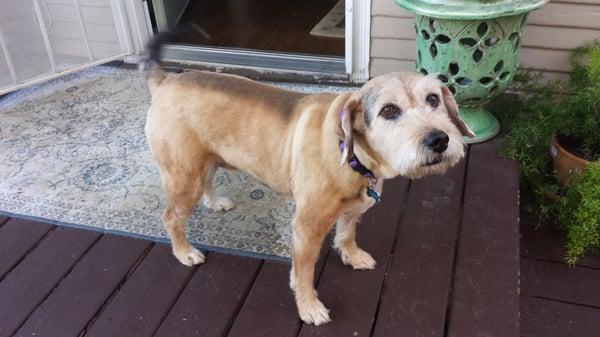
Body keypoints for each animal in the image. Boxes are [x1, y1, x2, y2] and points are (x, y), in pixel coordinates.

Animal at [141, 32, 474, 324]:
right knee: (170, 217)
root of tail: (166, 81)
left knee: (206, 183)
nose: (440, 140)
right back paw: (185, 252)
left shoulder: (353, 209)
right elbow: (303, 275)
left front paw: (352, 256)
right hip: (184, 176)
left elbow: (347, 233)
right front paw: (309, 308)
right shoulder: (306, 229)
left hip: (203, 162)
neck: (350, 155)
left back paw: (214, 202)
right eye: (389, 110)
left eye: (433, 99)